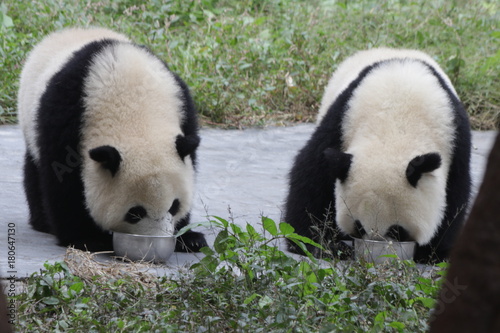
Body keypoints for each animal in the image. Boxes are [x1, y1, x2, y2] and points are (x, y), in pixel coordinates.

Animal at [17, 27, 205, 252]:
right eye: (135, 213)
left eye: (174, 206)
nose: (156, 240)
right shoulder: (66, 119)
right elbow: (62, 179)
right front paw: (87, 238)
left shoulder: (183, 107)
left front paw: (189, 238)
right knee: (34, 169)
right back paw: (42, 221)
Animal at [286, 48, 472, 264]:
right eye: (359, 226)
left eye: (397, 230)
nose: (377, 248)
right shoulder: (342, 119)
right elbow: (313, 175)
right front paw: (321, 244)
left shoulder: (454, 136)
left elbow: (456, 196)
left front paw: (433, 252)